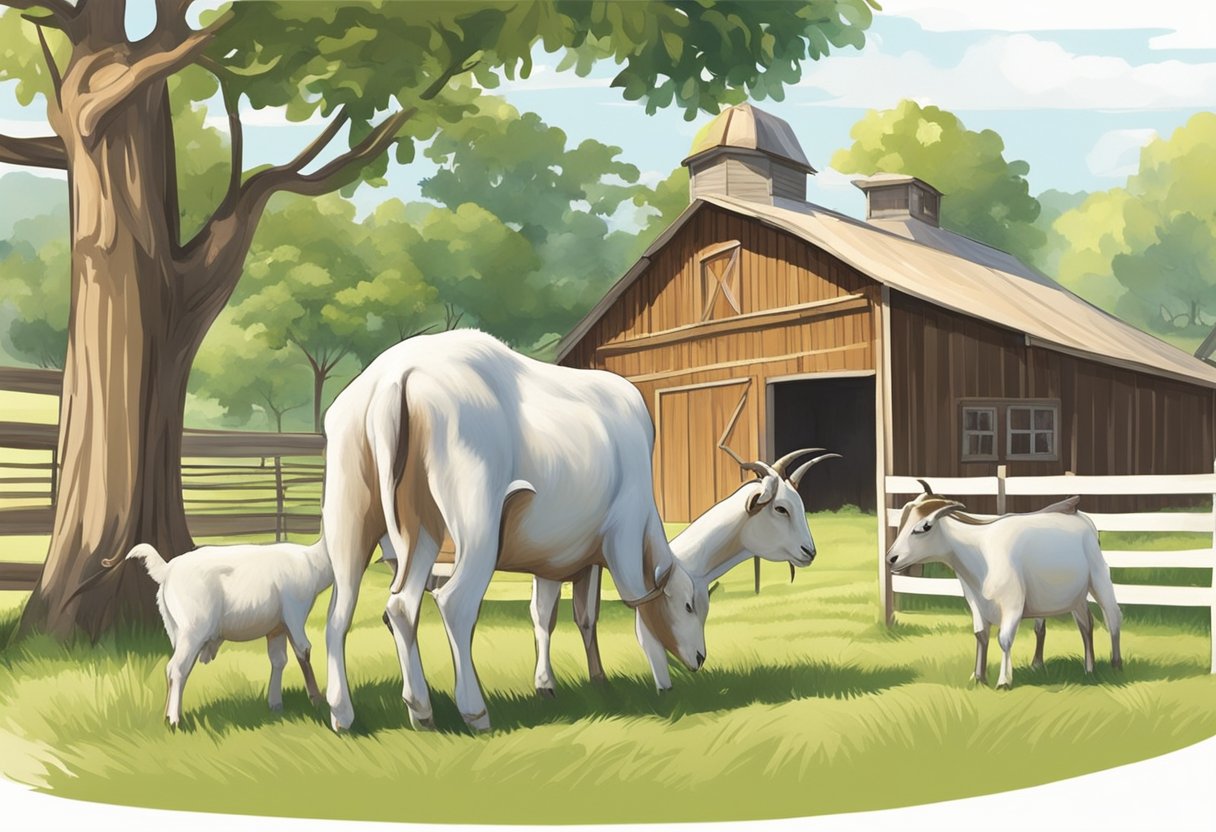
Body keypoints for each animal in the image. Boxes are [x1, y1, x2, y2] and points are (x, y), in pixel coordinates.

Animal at [124, 540, 333, 729]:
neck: (314, 559)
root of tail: (167, 569)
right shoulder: (295, 613)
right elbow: (304, 651)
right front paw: (317, 699)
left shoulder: (277, 628)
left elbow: (279, 660)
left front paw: (276, 705)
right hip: (193, 630)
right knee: (176, 668)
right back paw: (174, 721)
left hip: (177, 630)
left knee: (178, 670)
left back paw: (167, 716)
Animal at [318, 328, 710, 729]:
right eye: (689, 606)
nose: (700, 658)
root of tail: (395, 375)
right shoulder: (623, 535)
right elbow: (634, 612)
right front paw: (659, 683)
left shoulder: (558, 557)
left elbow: (555, 616)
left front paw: (557, 683)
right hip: (475, 524)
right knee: (454, 604)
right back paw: (473, 711)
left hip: (367, 520)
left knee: (357, 612)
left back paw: (375, 712)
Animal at [527, 447, 841, 695]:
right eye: (781, 509)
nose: (809, 551)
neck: (687, 562)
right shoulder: (653, 609)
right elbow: (653, 649)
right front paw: (665, 692)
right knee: (544, 615)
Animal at [885, 481, 1118, 690]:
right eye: (903, 521)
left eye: (924, 527)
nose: (890, 559)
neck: (980, 552)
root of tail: (1082, 517)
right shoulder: (975, 602)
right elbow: (981, 636)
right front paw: (978, 677)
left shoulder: (1012, 604)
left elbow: (1004, 639)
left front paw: (1004, 681)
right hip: (1074, 597)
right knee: (1085, 624)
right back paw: (1087, 668)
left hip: (1100, 579)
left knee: (1113, 618)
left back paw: (1116, 664)